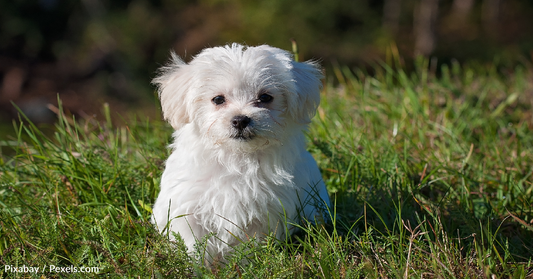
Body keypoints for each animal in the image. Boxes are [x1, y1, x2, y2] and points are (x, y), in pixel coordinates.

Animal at [150, 43, 330, 260]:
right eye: (218, 99)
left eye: (265, 97)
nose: (240, 120)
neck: (237, 157)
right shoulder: (187, 207)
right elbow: (193, 243)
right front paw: (195, 265)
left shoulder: (265, 213)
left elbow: (251, 247)